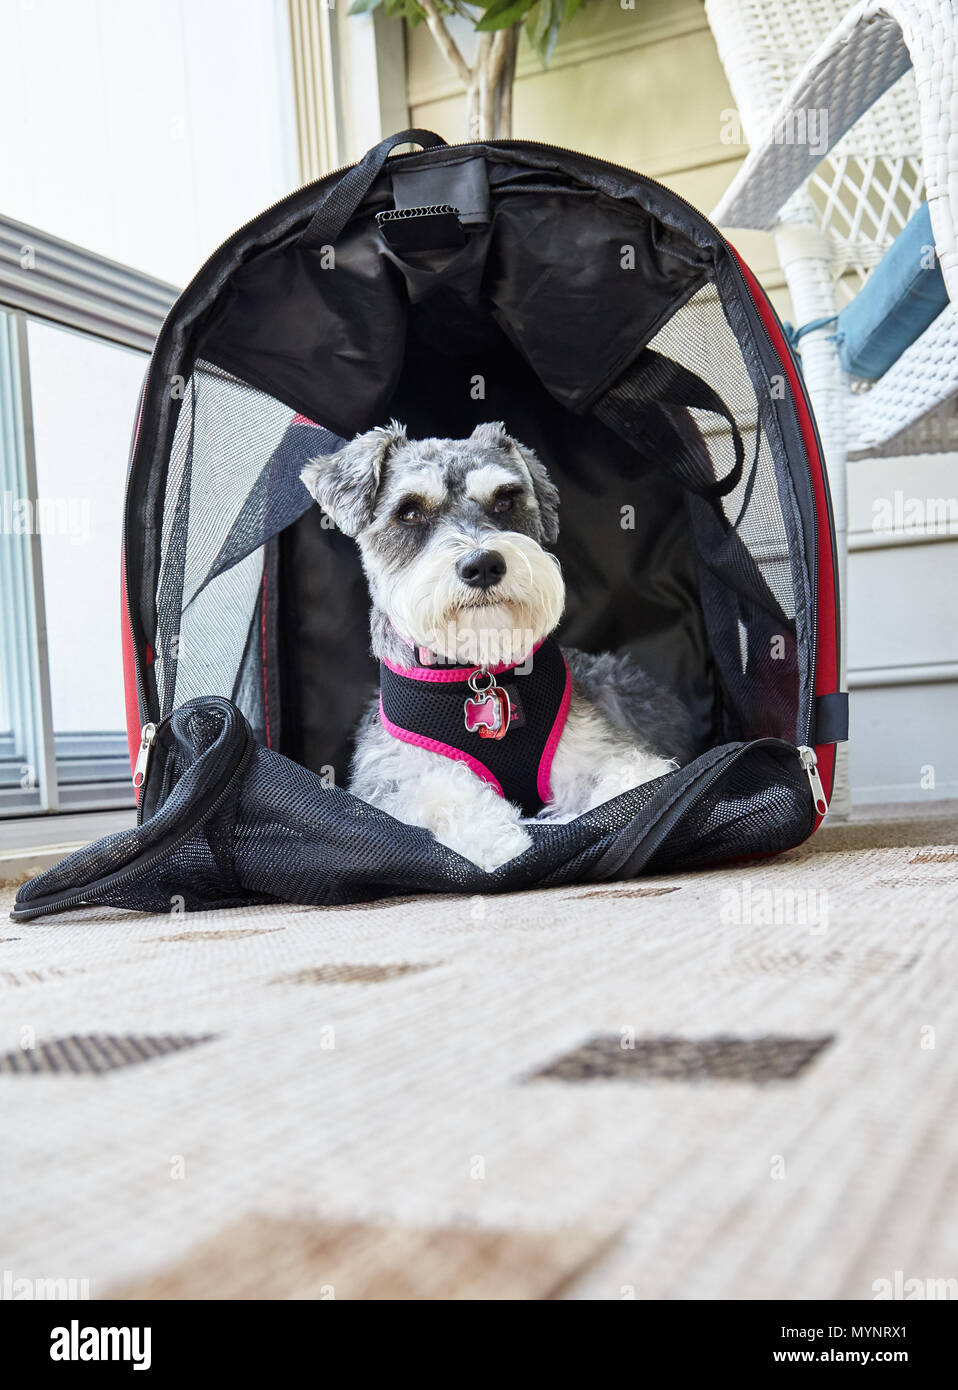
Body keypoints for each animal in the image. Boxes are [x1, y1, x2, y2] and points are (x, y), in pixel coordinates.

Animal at [300, 419, 686, 867]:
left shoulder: (597, 747)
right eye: (410, 512)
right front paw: (497, 839)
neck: (478, 665)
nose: (482, 564)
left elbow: (633, 776)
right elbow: (441, 792)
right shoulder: (388, 780)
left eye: (504, 500)